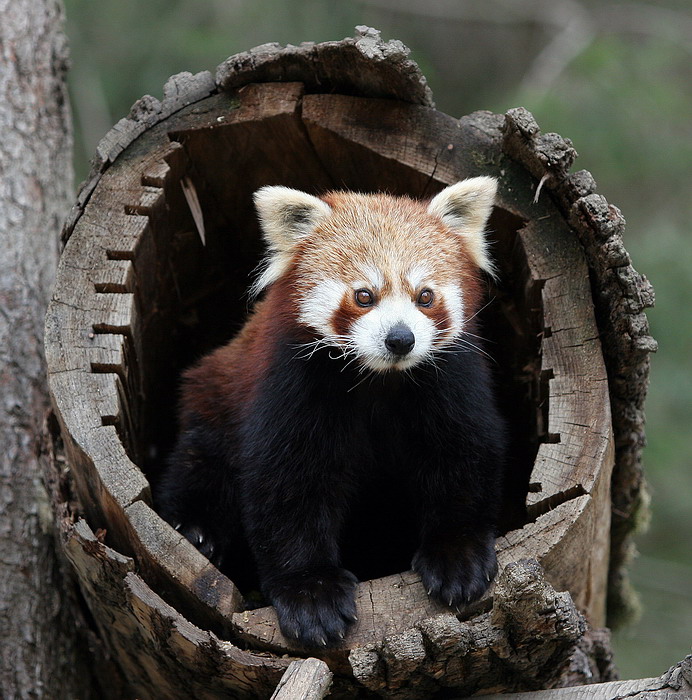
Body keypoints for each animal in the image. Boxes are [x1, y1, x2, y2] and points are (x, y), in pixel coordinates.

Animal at [155, 178, 508, 648]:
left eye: (425, 297)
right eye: (364, 296)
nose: (401, 339)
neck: (378, 381)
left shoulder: (451, 380)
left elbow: (463, 455)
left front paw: (458, 554)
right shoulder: (293, 386)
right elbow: (288, 484)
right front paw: (310, 592)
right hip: (213, 398)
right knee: (202, 459)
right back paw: (195, 527)